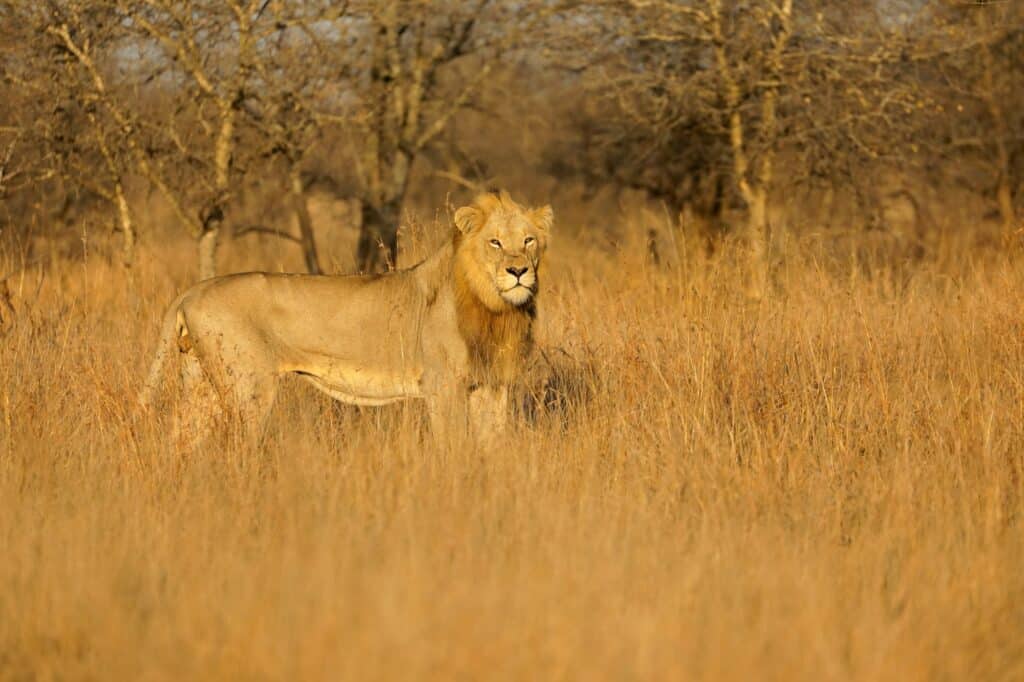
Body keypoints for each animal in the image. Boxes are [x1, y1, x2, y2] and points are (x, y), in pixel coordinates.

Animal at [138, 191, 553, 447]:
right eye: (495, 242)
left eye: (528, 240)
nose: (518, 271)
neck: (495, 307)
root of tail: (194, 288)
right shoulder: (443, 385)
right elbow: (453, 444)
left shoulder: (492, 385)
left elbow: (491, 444)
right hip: (247, 385)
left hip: (200, 379)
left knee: (179, 433)